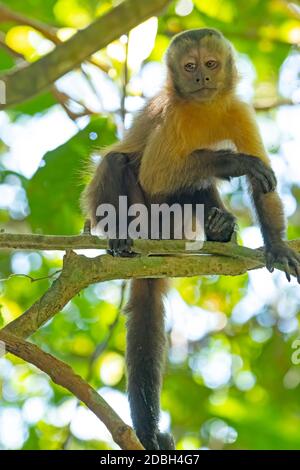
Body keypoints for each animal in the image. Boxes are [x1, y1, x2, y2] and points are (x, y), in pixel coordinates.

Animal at [82, 27, 300, 450]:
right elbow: (157, 174)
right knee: (122, 163)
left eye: (210, 64)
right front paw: (234, 163)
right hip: (135, 214)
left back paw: (218, 227)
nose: (201, 78)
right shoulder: (173, 114)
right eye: (189, 66)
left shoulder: (238, 111)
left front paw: (278, 246)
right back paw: (122, 239)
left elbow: (263, 189)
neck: (204, 108)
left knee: (195, 188)